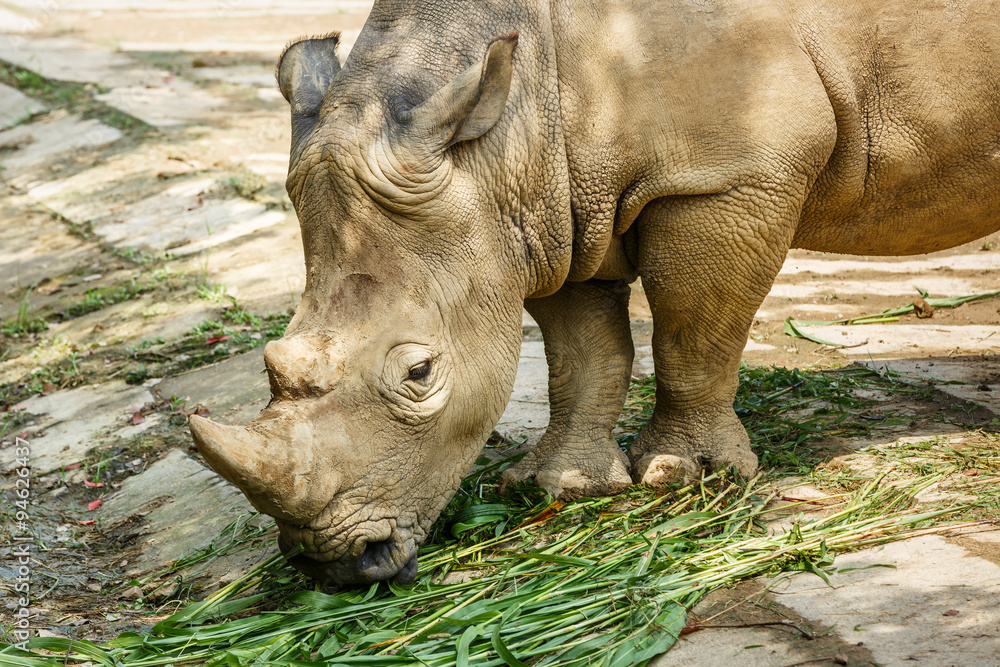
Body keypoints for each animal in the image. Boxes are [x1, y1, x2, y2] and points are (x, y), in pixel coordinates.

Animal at [190, 0, 1000, 585]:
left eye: (419, 373)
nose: (336, 566)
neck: (506, 132)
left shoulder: (723, 175)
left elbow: (693, 329)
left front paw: (685, 478)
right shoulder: (549, 206)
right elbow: (582, 351)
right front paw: (564, 487)